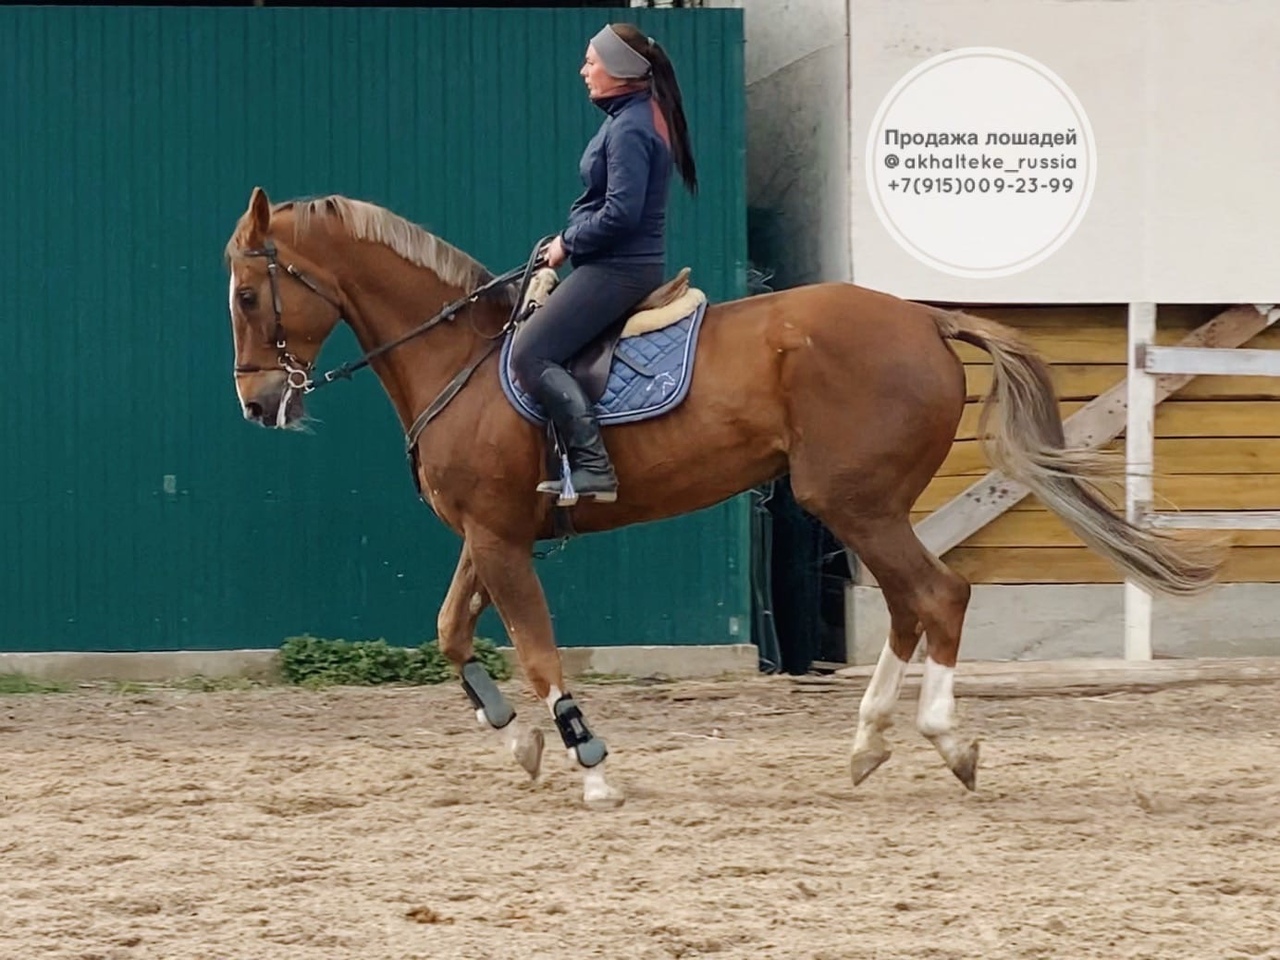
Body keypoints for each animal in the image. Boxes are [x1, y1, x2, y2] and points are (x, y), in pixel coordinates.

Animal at [225, 185, 1213, 803]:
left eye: (246, 295)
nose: (257, 404)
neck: (458, 361)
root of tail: (924, 317)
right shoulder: (488, 530)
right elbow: (451, 632)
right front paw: (519, 738)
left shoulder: (500, 537)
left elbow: (538, 654)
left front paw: (589, 763)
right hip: (866, 505)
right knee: (909, 605)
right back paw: (868, 742)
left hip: (852, 501)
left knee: (940, 595)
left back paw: (944, 737)